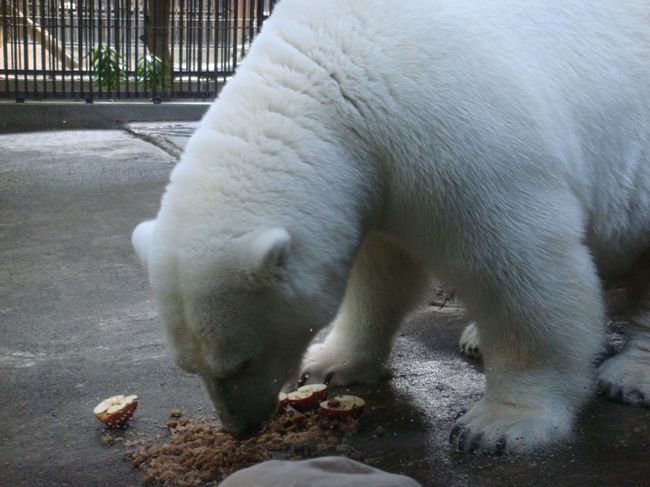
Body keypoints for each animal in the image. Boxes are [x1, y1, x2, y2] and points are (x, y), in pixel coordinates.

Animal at [130, 0, 648, 456]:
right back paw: (477, 337)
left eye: (239, 362)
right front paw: (330, 363)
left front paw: (499, 424)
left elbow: (521, 267)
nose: (240, 429)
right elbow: (381, 272)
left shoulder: (455, 126)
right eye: (187, 366)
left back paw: (629, 375)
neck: (330, 71)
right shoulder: (379, 167)